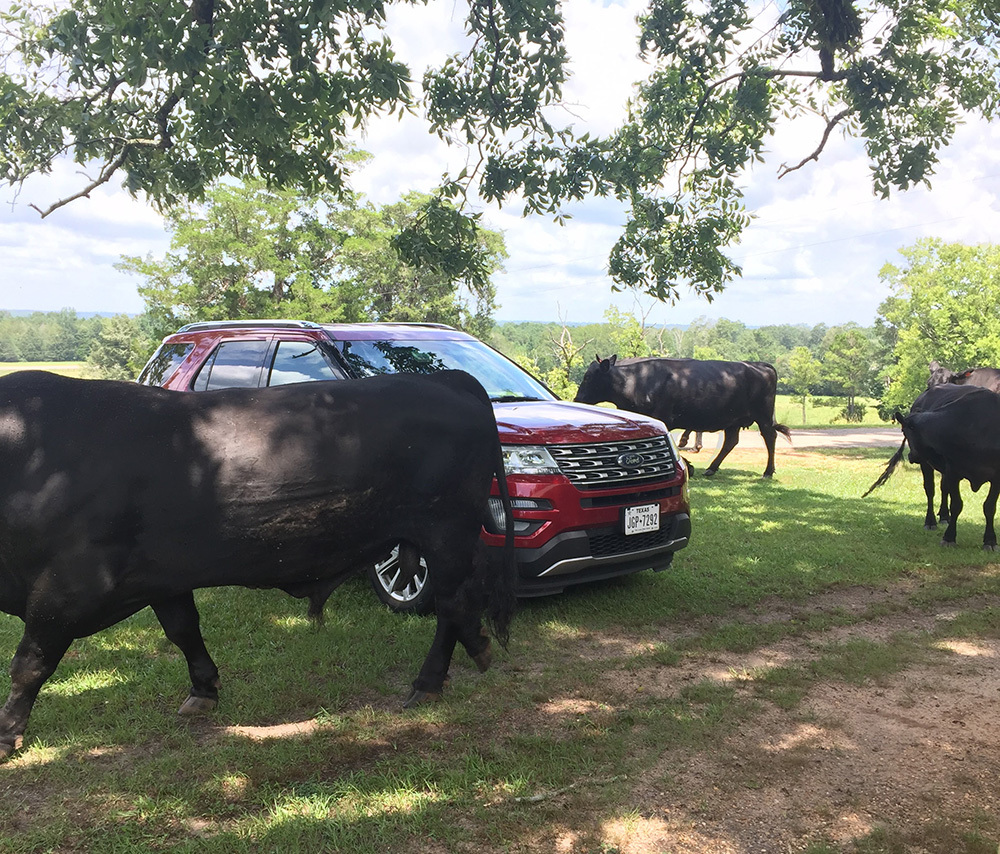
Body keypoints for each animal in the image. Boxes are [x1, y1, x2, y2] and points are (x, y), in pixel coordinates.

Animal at [0, 370, 515, 760]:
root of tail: (444, 378)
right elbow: (183, 629)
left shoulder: (67, 586)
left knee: (452, 602)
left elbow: (29, 664)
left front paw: (7, 736)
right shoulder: (162, 576)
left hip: (445, 532)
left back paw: (431, 681)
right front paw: (203, 691)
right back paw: (472, 651)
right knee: (465, 596)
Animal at [574, 356, 791, 477]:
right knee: (731, 441)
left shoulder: (662, 418)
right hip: (733, 420)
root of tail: (760, 365)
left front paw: (689, 466)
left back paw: (768, 472)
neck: (636, 381)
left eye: (588, 377)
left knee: (770, 437)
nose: (577, 399)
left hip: (763, 415)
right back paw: (711, 468)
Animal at [864, 383, 1000, 549]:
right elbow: (957, 504)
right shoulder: (952, 470)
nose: (911, 456)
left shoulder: (996, 476)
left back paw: (944, 516)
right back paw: (931, 521)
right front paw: (949, 537)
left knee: (943, 488)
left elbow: (989, 506)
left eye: (903, 431)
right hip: (927, 464)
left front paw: (990, 540)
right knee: (930, 490)